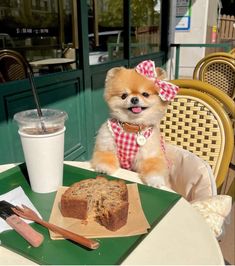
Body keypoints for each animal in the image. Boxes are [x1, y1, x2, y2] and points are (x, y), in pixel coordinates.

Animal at [91, 59, 178, 187]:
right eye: (124, 96)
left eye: (145, 94)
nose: (134, 99)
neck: (132, 127)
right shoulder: (106, 145)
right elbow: (105, 157)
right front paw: (103, 168)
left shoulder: (150, 155)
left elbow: (155, 169)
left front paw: (155, 181)